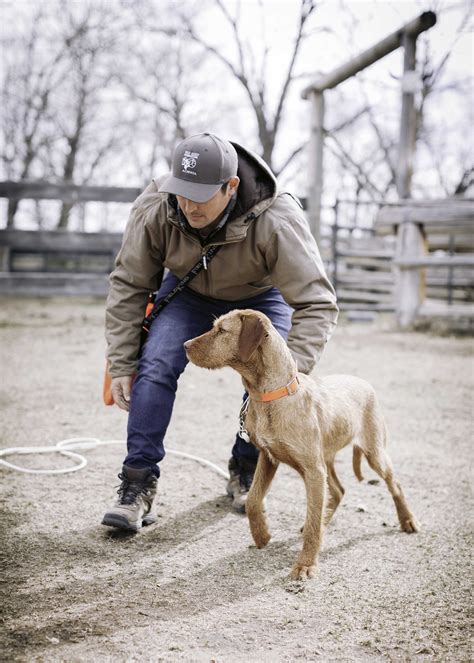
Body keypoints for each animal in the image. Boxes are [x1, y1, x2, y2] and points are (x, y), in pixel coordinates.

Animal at [183, 308, 420, 580]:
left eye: (222, 330)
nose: (185, 345)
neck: (272, 396)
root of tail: (364, 382)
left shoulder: (313, 471)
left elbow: (312, 520)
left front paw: (306, 564)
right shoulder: (268, 457)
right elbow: (253, 499)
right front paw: (262, 534)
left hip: (373, 452)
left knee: (394, 484)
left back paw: (407, 520)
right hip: (326, 459)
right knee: (338, 491)